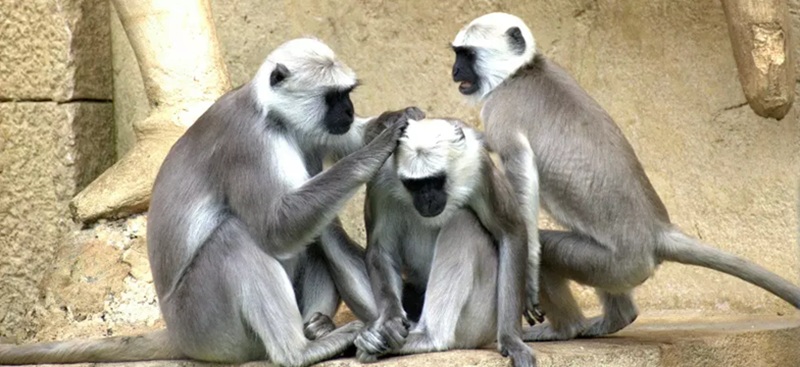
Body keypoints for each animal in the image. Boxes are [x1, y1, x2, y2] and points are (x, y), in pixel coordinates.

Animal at [354, 119, 536, 366]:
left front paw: (512, 340)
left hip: (480, 319)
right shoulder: (381, 179)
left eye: (436, 181)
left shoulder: (479, 166)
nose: (427, 198)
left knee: (463, 220)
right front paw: (390, 321)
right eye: (414, 185)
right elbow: (380, 249)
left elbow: (511, 232)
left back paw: (428, 337)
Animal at [450, 13, 800, 342]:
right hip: (616, 268)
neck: (523, 70)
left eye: (466, 55)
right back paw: (616, 318)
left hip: (617, 264)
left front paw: (529, 275)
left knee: (548, 248)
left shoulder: (500, 109)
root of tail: (657, 232)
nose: (454, 71)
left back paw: (565, 329)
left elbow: (521, 178)